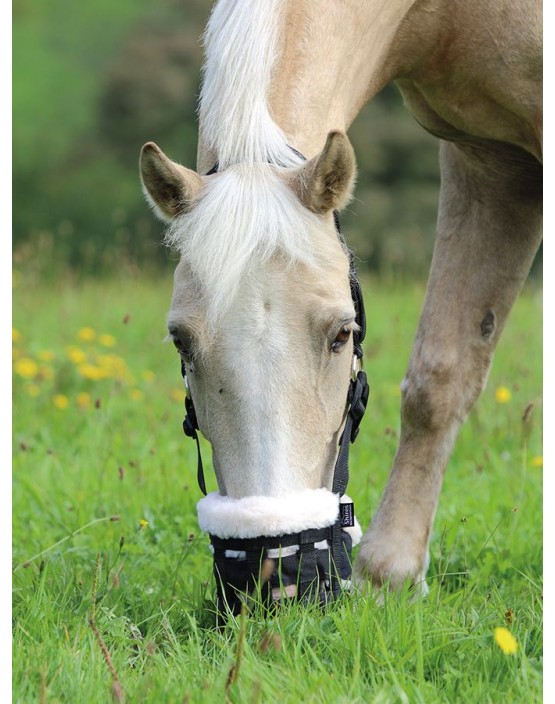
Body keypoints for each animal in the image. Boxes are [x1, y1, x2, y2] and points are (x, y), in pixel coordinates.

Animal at [138, 0, 544, 612]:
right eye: (181, 342)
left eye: (342, 334)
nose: (275, 576)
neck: (451, 16)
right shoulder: (491, 160)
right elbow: (440, 378)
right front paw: (390, 577)